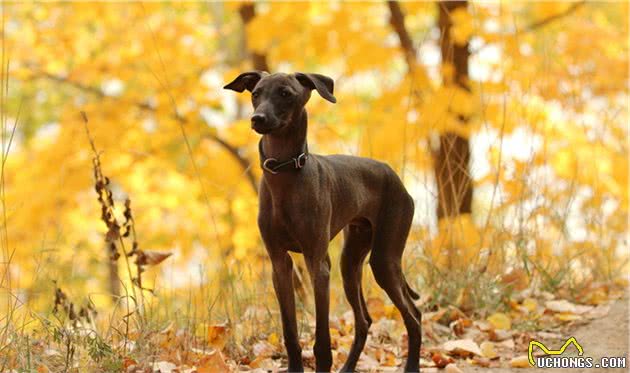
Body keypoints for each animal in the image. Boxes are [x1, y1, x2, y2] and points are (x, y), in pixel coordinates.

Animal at [225, 71, 422, 370]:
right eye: (256, 93)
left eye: (286, 93)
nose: (257, 119)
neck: (285, 174)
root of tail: (395, 177)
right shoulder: (280, 264)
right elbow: (290, 333)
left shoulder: (317, 263)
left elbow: (321, 340)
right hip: (350, 262)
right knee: (365, 321)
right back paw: (348, 368)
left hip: (384, 259)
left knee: (413, 316)